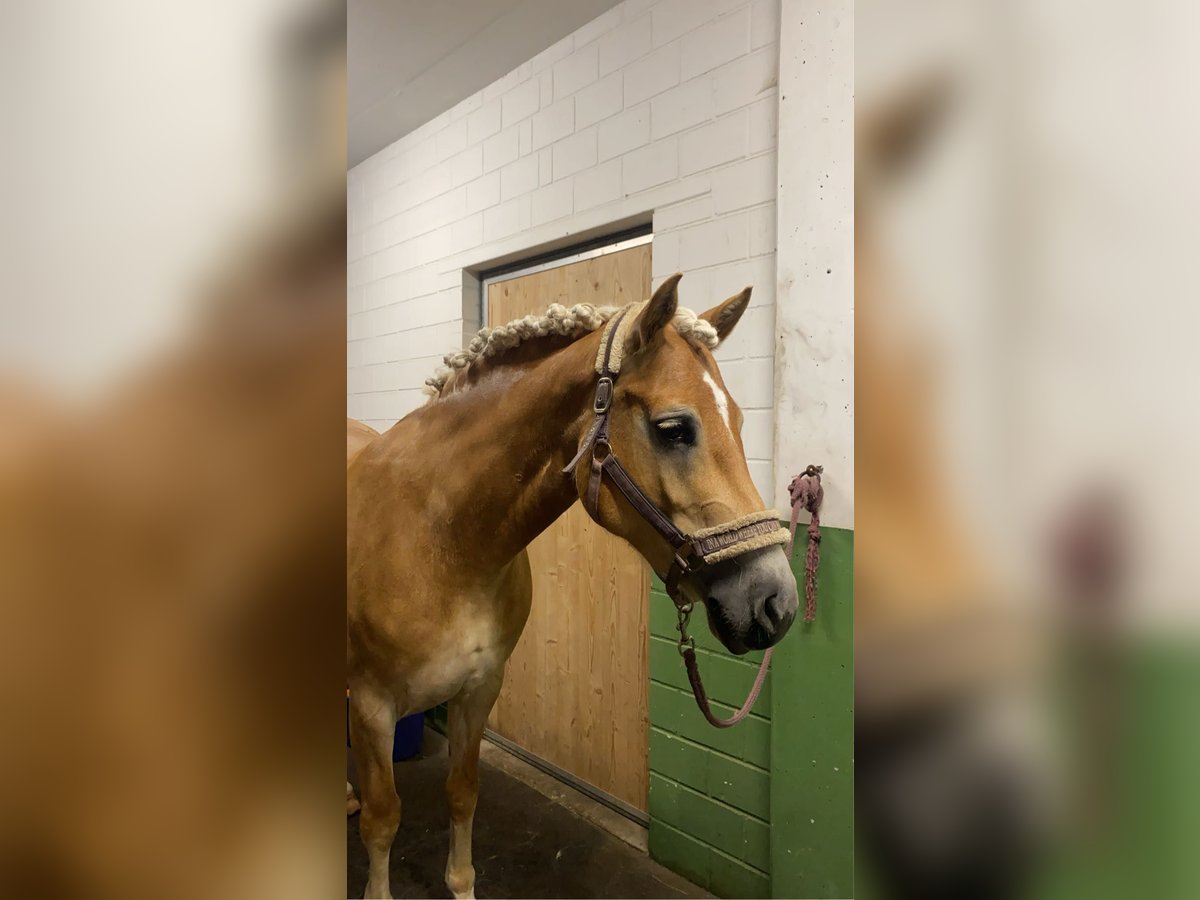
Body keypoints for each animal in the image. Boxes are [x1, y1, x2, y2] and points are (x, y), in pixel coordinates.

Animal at [348, 274, 796, 900]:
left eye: (737, 419)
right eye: (674, 428)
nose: (777, 601)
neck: (441, 540)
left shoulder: (479, 689)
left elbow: (462, 792)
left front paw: (461, 886)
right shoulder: (372, 705)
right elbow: (382, 819)